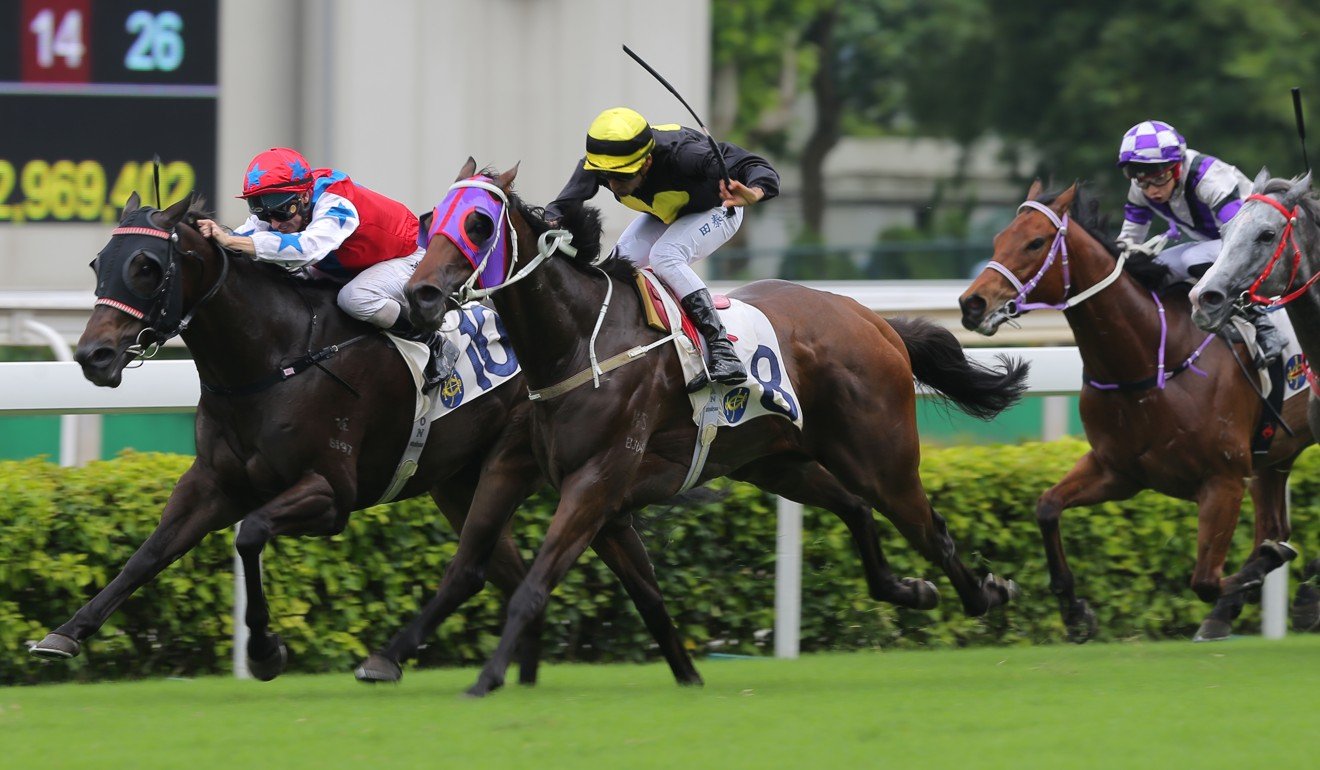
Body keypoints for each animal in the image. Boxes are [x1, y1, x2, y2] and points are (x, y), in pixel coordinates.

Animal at [31, 191, 549, 681]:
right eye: (98, 263)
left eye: (147, 266)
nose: (93, 356)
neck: (273, 359)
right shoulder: (213, 483)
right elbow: (150, 552)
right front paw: (65, 632)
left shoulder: (330, 492)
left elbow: (251, 535)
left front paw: (264, 650)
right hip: (456, 481)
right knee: (494, 569)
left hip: (508, 461)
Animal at [396, 159, 1024, 697]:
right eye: (432, 218)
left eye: (478, 223)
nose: (419, 294)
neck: (575, 345)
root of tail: (875, 320)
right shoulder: (543, 477)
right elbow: (480, 566)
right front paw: (394, 655)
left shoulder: (595, 481)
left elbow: (532, 587)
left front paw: (486, 677)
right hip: (778, 462)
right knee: (855, 508)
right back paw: (908, 589)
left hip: (880, 458)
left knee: (928, 528)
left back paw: (984, 593)